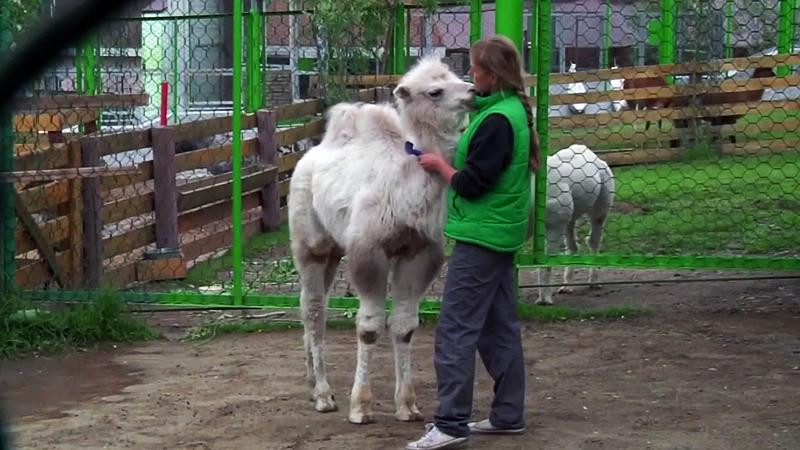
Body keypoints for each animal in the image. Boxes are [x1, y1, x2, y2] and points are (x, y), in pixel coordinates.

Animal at [290, 54, 472, 424]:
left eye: (457, 76)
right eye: (435, 91)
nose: (473, 91)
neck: (406, 187)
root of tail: (306, 157)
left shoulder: (418, 251)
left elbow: (404, 326)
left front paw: (408, 405)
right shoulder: (369, 251)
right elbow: (370, 326)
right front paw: (360, 406)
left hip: (334, 249)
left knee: (311, 304)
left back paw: (312, 382)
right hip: (309, 242)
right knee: (315, 310)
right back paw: (324, 395)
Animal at [536, 144, 616, 306]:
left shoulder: (553, 221)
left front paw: (545, 299)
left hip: (603, 195)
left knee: (594, 237)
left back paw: (594, 283)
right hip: (570, 212)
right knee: (572, 244)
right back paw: (566, 286)